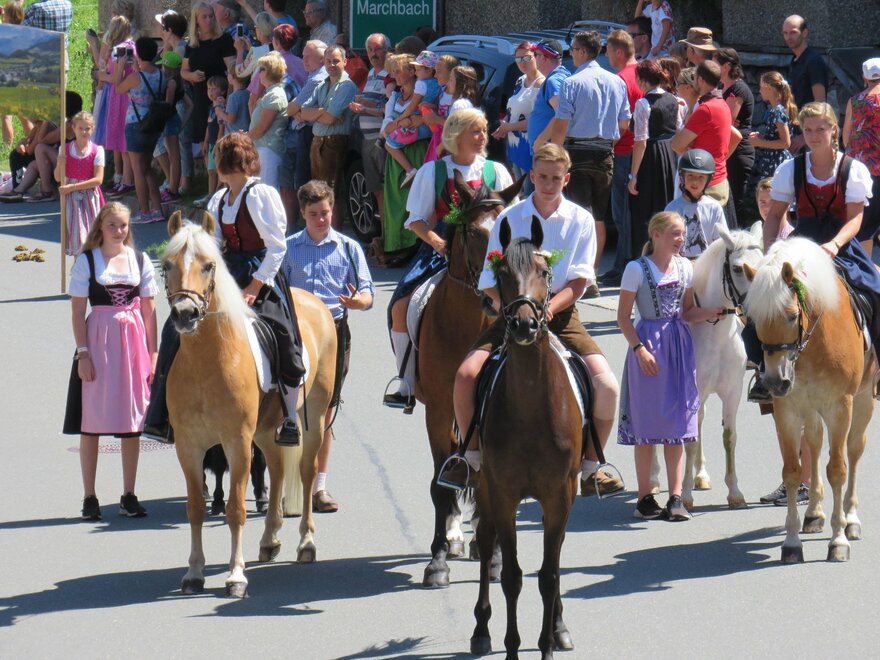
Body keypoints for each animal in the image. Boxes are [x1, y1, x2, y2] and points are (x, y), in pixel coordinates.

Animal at [162, 211, 337, 596]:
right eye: (167, 265)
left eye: (208, 265)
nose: (184, 313)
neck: (207, 361)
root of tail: (314, 300)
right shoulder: (189, 445)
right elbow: (195, 507)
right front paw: (194, 572)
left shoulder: (236, 443)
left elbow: (235, 509)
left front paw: (236, 575)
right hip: (266, 429)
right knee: (277, 467)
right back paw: (270, 539)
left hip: (314, 417)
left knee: (306, 471)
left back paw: (306, 543)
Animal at [417, 171, 522, 588]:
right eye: (475, 232)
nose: (497, 298)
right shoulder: (439, 409)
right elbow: (438, 484)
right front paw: (438, 560)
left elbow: (484, 481)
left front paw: (492, 555)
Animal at [470, 216, 581, 659]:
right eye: (501, 273)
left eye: (545, 272)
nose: (522, 324)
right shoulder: (502, 492)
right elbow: (512, 576)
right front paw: (512, 646)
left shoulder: (559, 493)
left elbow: (549, 574)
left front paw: (548, 641)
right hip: (483, 484)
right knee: (486, 544)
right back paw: (480, 628)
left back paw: (560, 626)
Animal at [743, 237, 874, 562]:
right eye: (755, 319)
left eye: (791, 316)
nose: (775, 381)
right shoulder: (787, 409)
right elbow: (791, 470)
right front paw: (791, 542)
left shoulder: (840, 406)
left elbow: (837, 470)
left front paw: (838, 540)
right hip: (810, 407)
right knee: (814, 444)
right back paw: (814, 513)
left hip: (863, 400)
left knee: (854, 450)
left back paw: (851, 520)